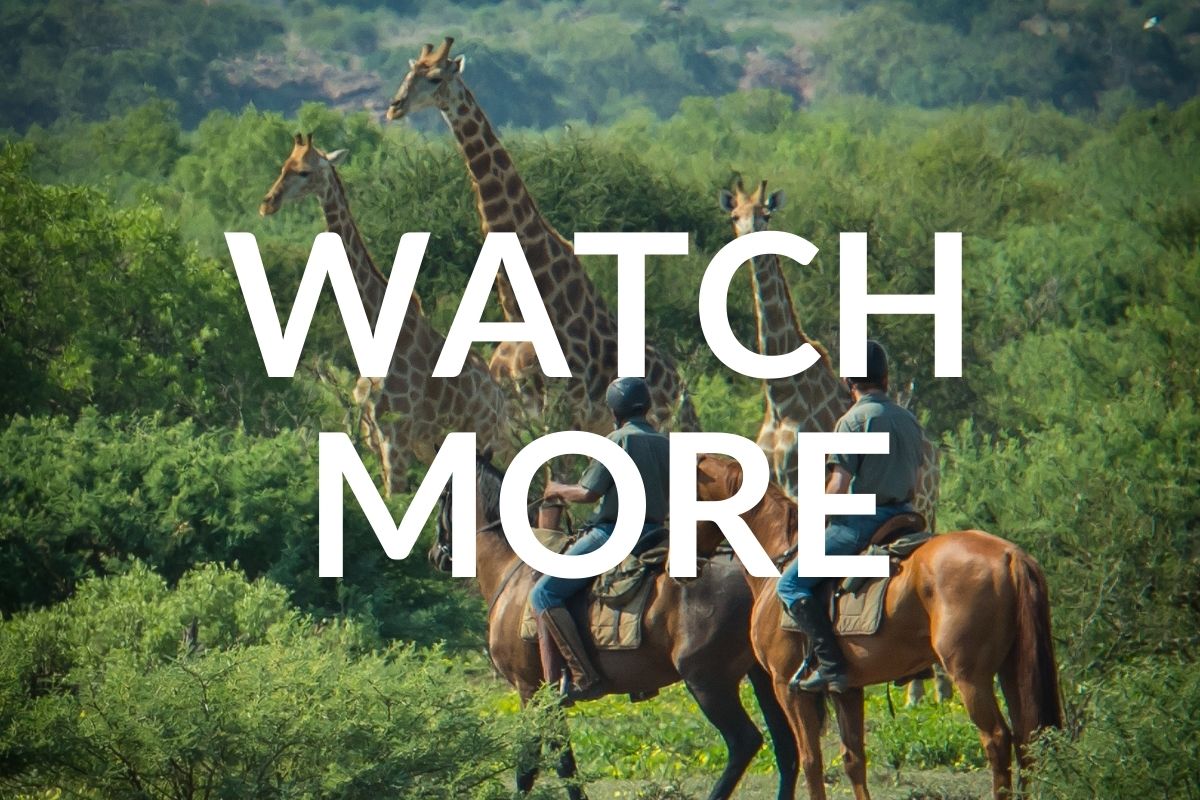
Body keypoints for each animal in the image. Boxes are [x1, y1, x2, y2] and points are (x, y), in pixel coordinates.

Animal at [259, 133, 518, 495]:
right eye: (284, 165)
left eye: (304, 172)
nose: (267, 203)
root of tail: (499, 398)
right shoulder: (374, 440)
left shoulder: (395, 439)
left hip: (492, 439)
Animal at [385, 38, 698, 439]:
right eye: (408, 74)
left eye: (435, 78)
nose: (394, 107)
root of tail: (678, 379)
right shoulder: (522, 405)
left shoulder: (565, 399)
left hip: (658, 420)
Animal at [432, 452, 799, 800]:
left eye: (442, 495)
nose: (436, 554)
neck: (510, 568)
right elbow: (562, 762)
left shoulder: (530, 690)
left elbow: (533, 765)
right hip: (761, 677)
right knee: (787, 747)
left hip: (708, 681)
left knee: (744, 742)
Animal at [693, 455, 1062, 800]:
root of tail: (1010, 555)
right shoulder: (846, 689)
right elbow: (853, 759)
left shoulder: (788, 687)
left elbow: (811, 761)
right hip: (1011, 669)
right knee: (1027, 739)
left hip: (971, 677)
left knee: (997, 740)